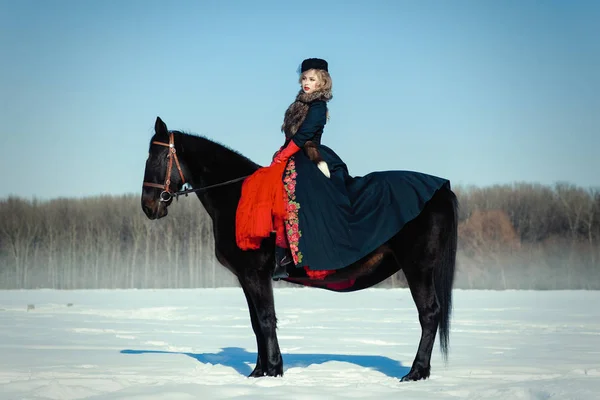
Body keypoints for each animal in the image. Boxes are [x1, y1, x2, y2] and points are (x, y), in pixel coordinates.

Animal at [142, 116, 460, 382]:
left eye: (159, 157)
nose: (148, 206)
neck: (237, 197)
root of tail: (441, 189)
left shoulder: (255, 274)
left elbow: (266, 319)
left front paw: (273, 370)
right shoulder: (246, 277)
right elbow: (256, 322)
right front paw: (259, 372)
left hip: (418, 267)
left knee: (429, 314)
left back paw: (416, 372)